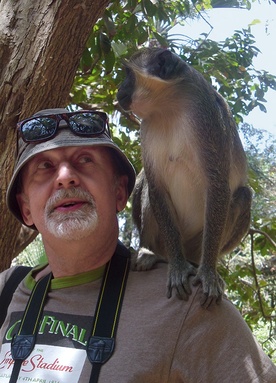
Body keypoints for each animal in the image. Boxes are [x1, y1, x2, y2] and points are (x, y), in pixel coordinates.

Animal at [117, 48, 251, 308]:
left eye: (128, 73)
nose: (119, 88)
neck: (169, 106)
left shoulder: (207, 117)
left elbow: (217, 185)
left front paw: (208, 272)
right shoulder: (146, 127)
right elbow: (155, 185)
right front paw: (178, 267)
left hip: (195, 243)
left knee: (243, 195)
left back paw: (197, 264)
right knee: (146, 184)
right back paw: (152, 253)